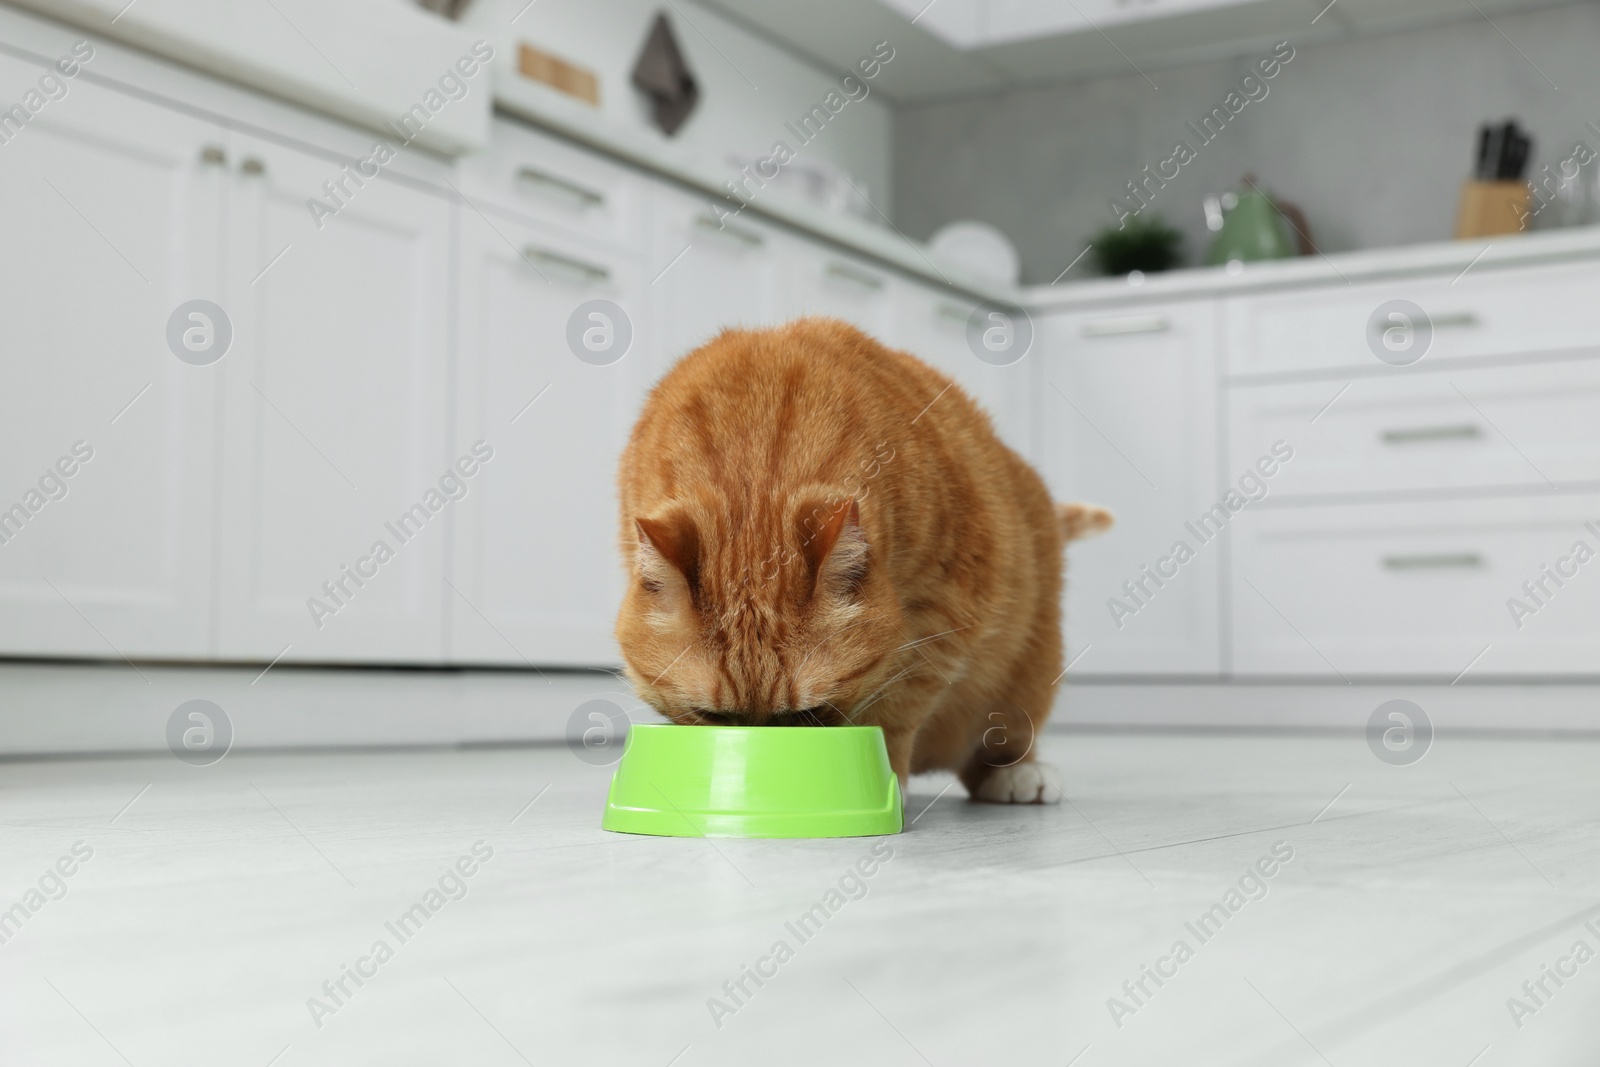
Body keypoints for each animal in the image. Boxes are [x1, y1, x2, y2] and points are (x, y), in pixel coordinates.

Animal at [614, 316, 1113, 799]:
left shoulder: (944, 618)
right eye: (710, 715)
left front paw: (888, 780)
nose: (765, 763)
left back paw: (1017, 775)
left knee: (1001, 739)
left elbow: (895, 709)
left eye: (813, 713)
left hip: (1029, 673)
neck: (751, 452)